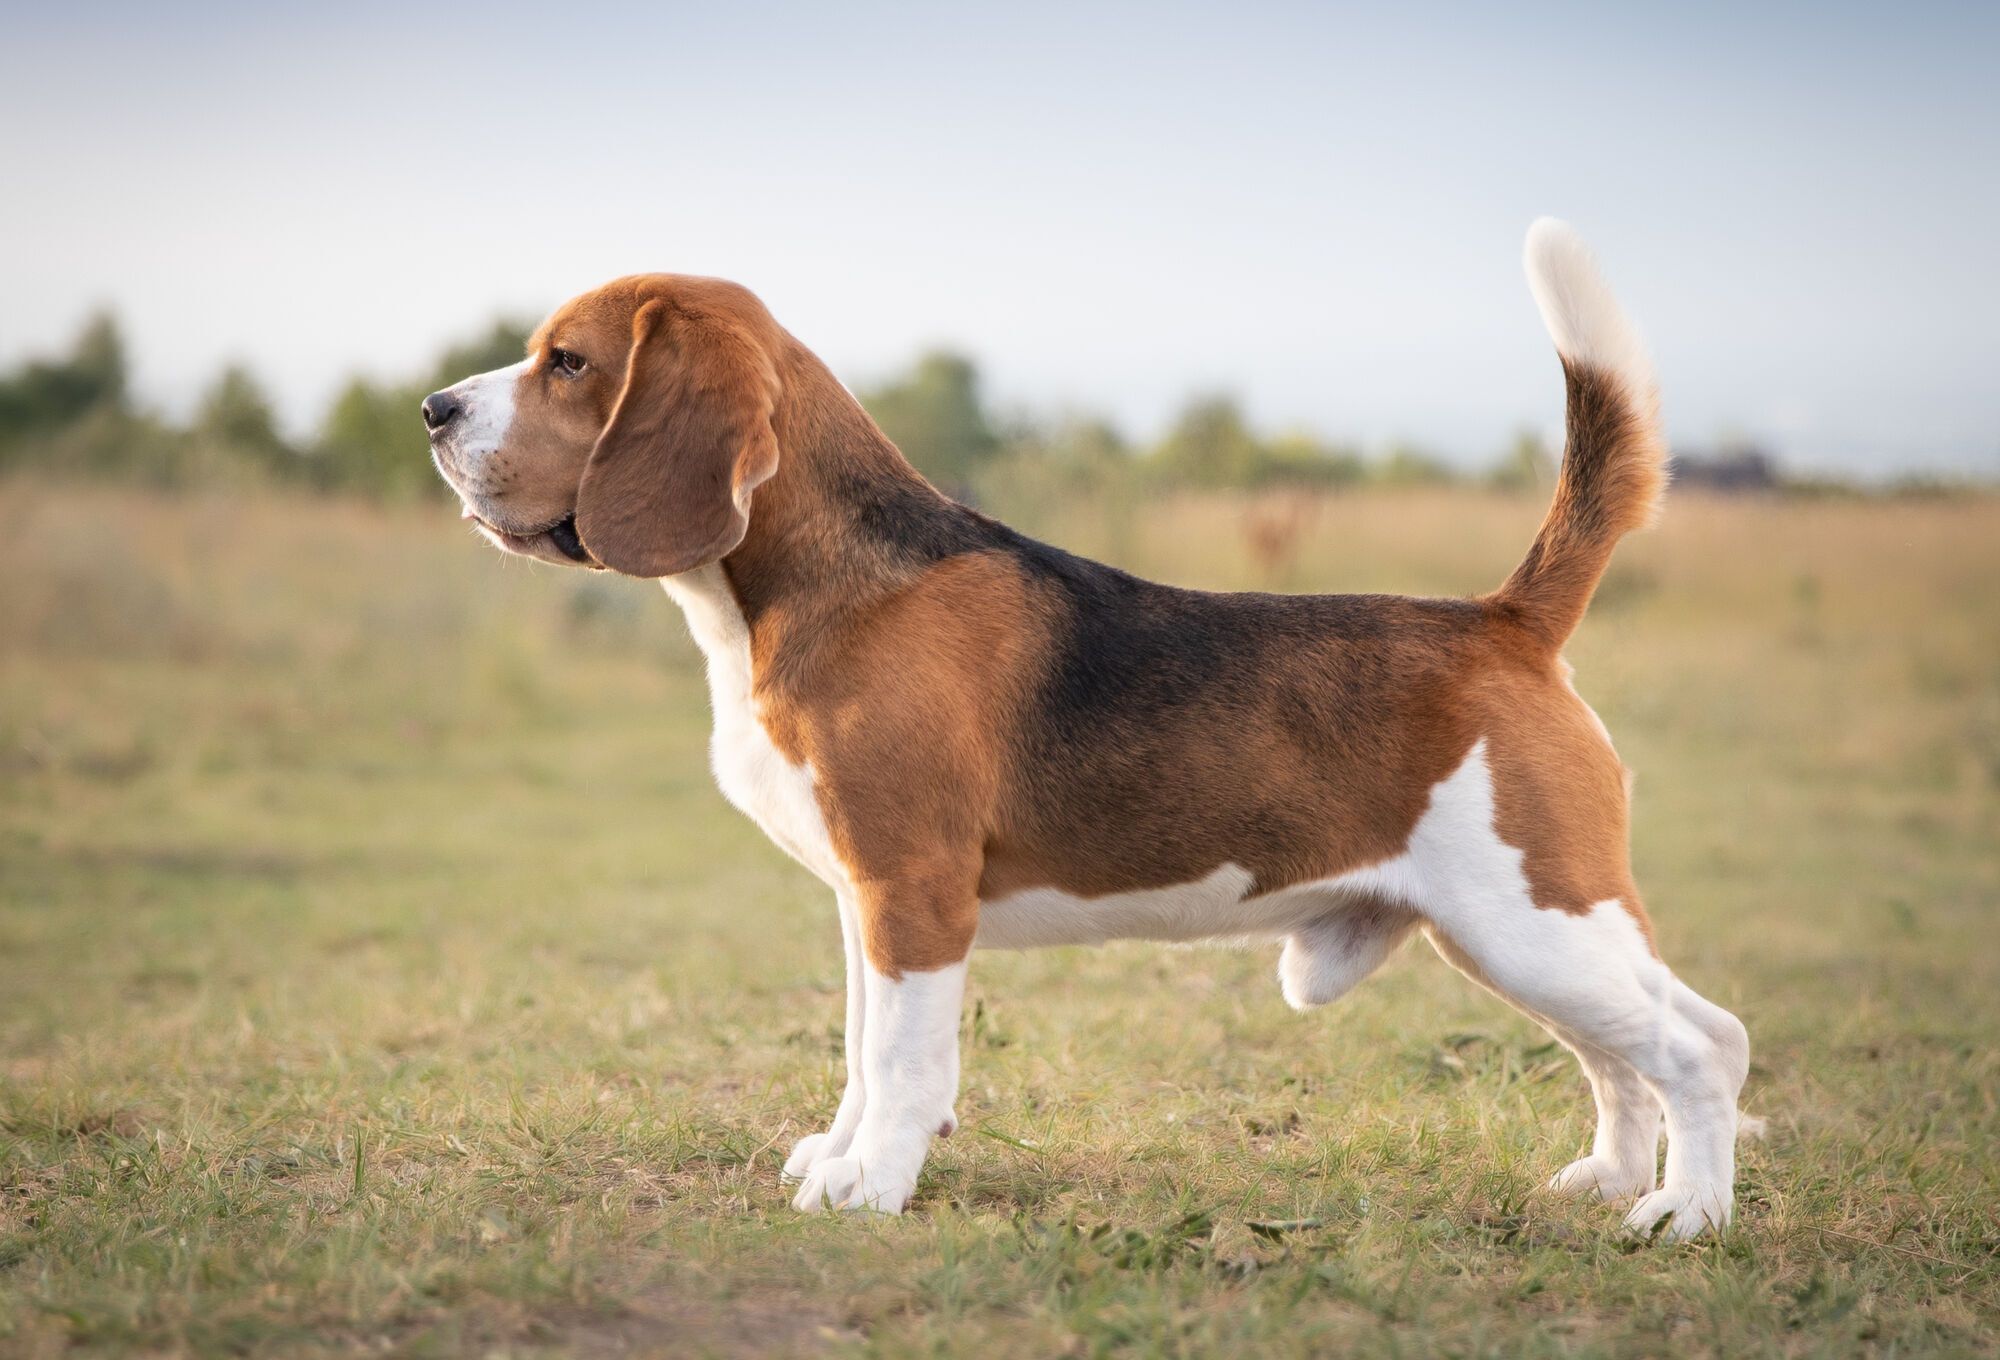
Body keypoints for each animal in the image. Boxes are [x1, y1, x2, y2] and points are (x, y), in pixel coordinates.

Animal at [426, 223, 1752, 1240]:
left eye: (566, 362)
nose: (434, 407)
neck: (820, 583)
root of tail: (1502, 620)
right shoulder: (863, 899)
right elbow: (858, 1049)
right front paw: (841, 1154)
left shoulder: (911, 893)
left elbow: (901, 1059)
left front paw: (872, 1184)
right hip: (1516, 937)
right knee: (1620, 1056)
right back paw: (1610, 1178)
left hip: (1533, 919)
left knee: (1702, 1044)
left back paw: (1682, 1213)